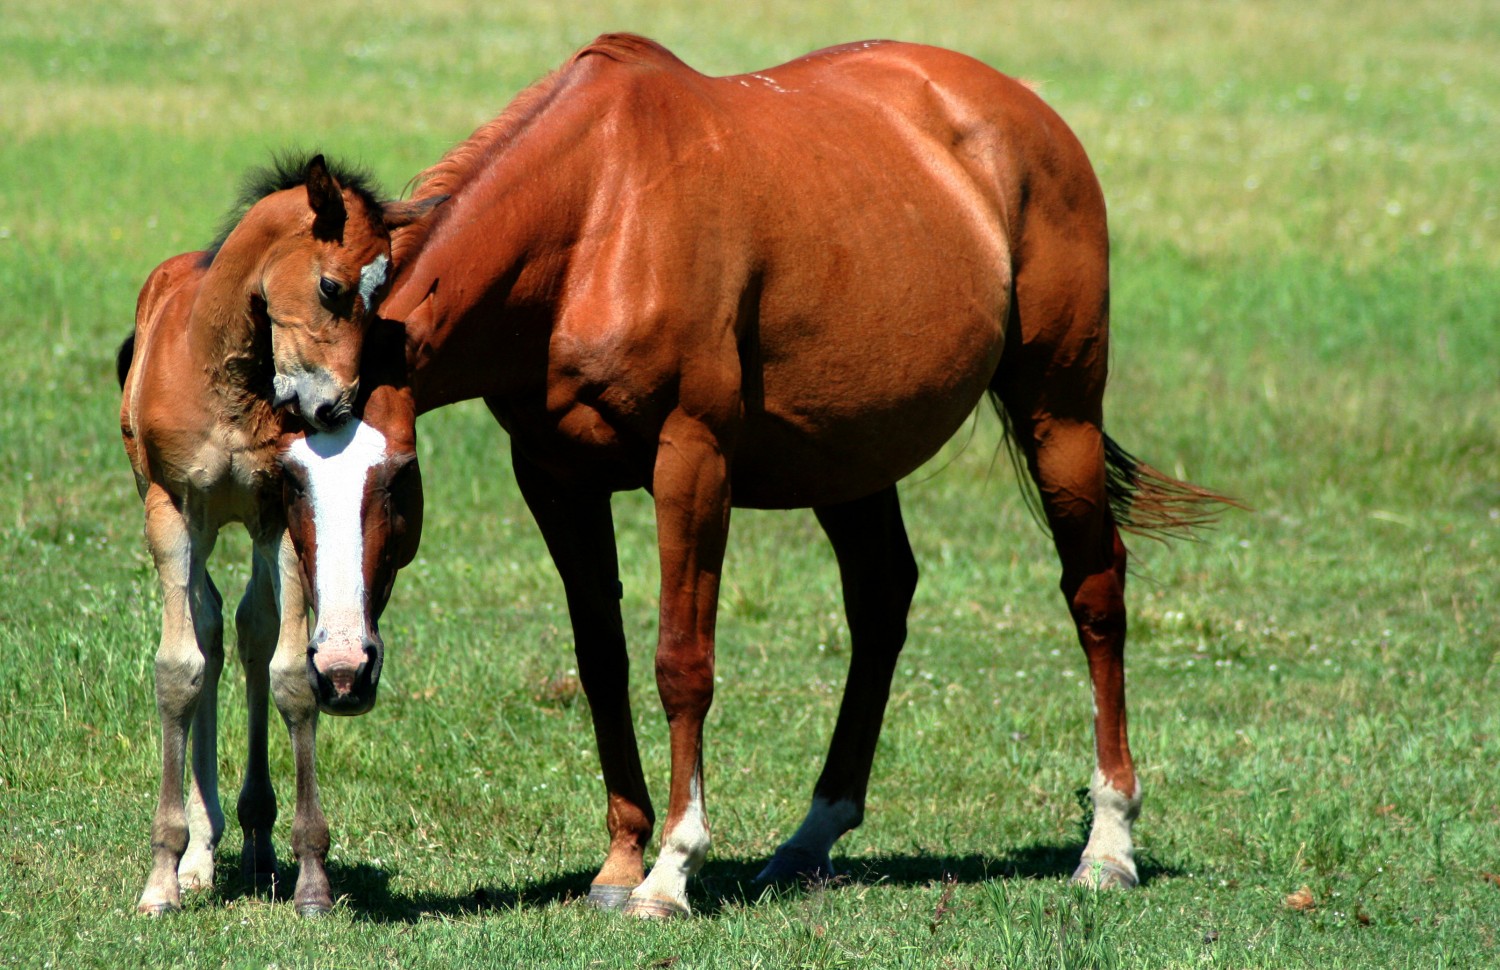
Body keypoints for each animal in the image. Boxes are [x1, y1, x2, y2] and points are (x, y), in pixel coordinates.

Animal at [118, 155, 435, 917]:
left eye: (383, 300)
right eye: (332, 287)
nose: (336, 407)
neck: (224, 377)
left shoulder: (278, 509)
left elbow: (290, 674)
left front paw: (310, 875)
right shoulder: (171, 507)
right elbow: (178, 669)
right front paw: (163, 875)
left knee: (250, 630)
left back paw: (257, 842)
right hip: (195, 520)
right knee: (207, 628)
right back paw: (203, 853)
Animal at [273, 35, 1230, 917]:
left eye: (397, 478)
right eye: (287, 484)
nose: (342, 670)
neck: (597, 218)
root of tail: (1025, 113)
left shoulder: (693, 462)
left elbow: (680, 662)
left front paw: (671, 871)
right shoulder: (554, 476)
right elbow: (601, 658)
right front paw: (620, 861)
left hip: (1058, 414)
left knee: (1095, 590)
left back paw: (1109, 843)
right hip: (852, 458)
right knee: (882, 600)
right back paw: (812, 837)